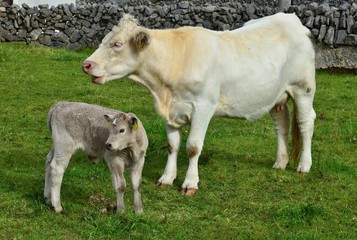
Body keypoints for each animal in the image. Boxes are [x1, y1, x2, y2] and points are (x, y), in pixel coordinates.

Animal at [82, 13, 314, 196]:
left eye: (117, 44)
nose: (86, 64)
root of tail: (291, 19)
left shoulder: (203, 107)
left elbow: (193, 147)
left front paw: (190, 183)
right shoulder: (171, 112)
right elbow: (172, 146)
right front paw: (166, 179)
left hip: (303, 89)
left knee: (305, 124)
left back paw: (304, 165)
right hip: (277, 96)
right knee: (281, 125)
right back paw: (280, 162)